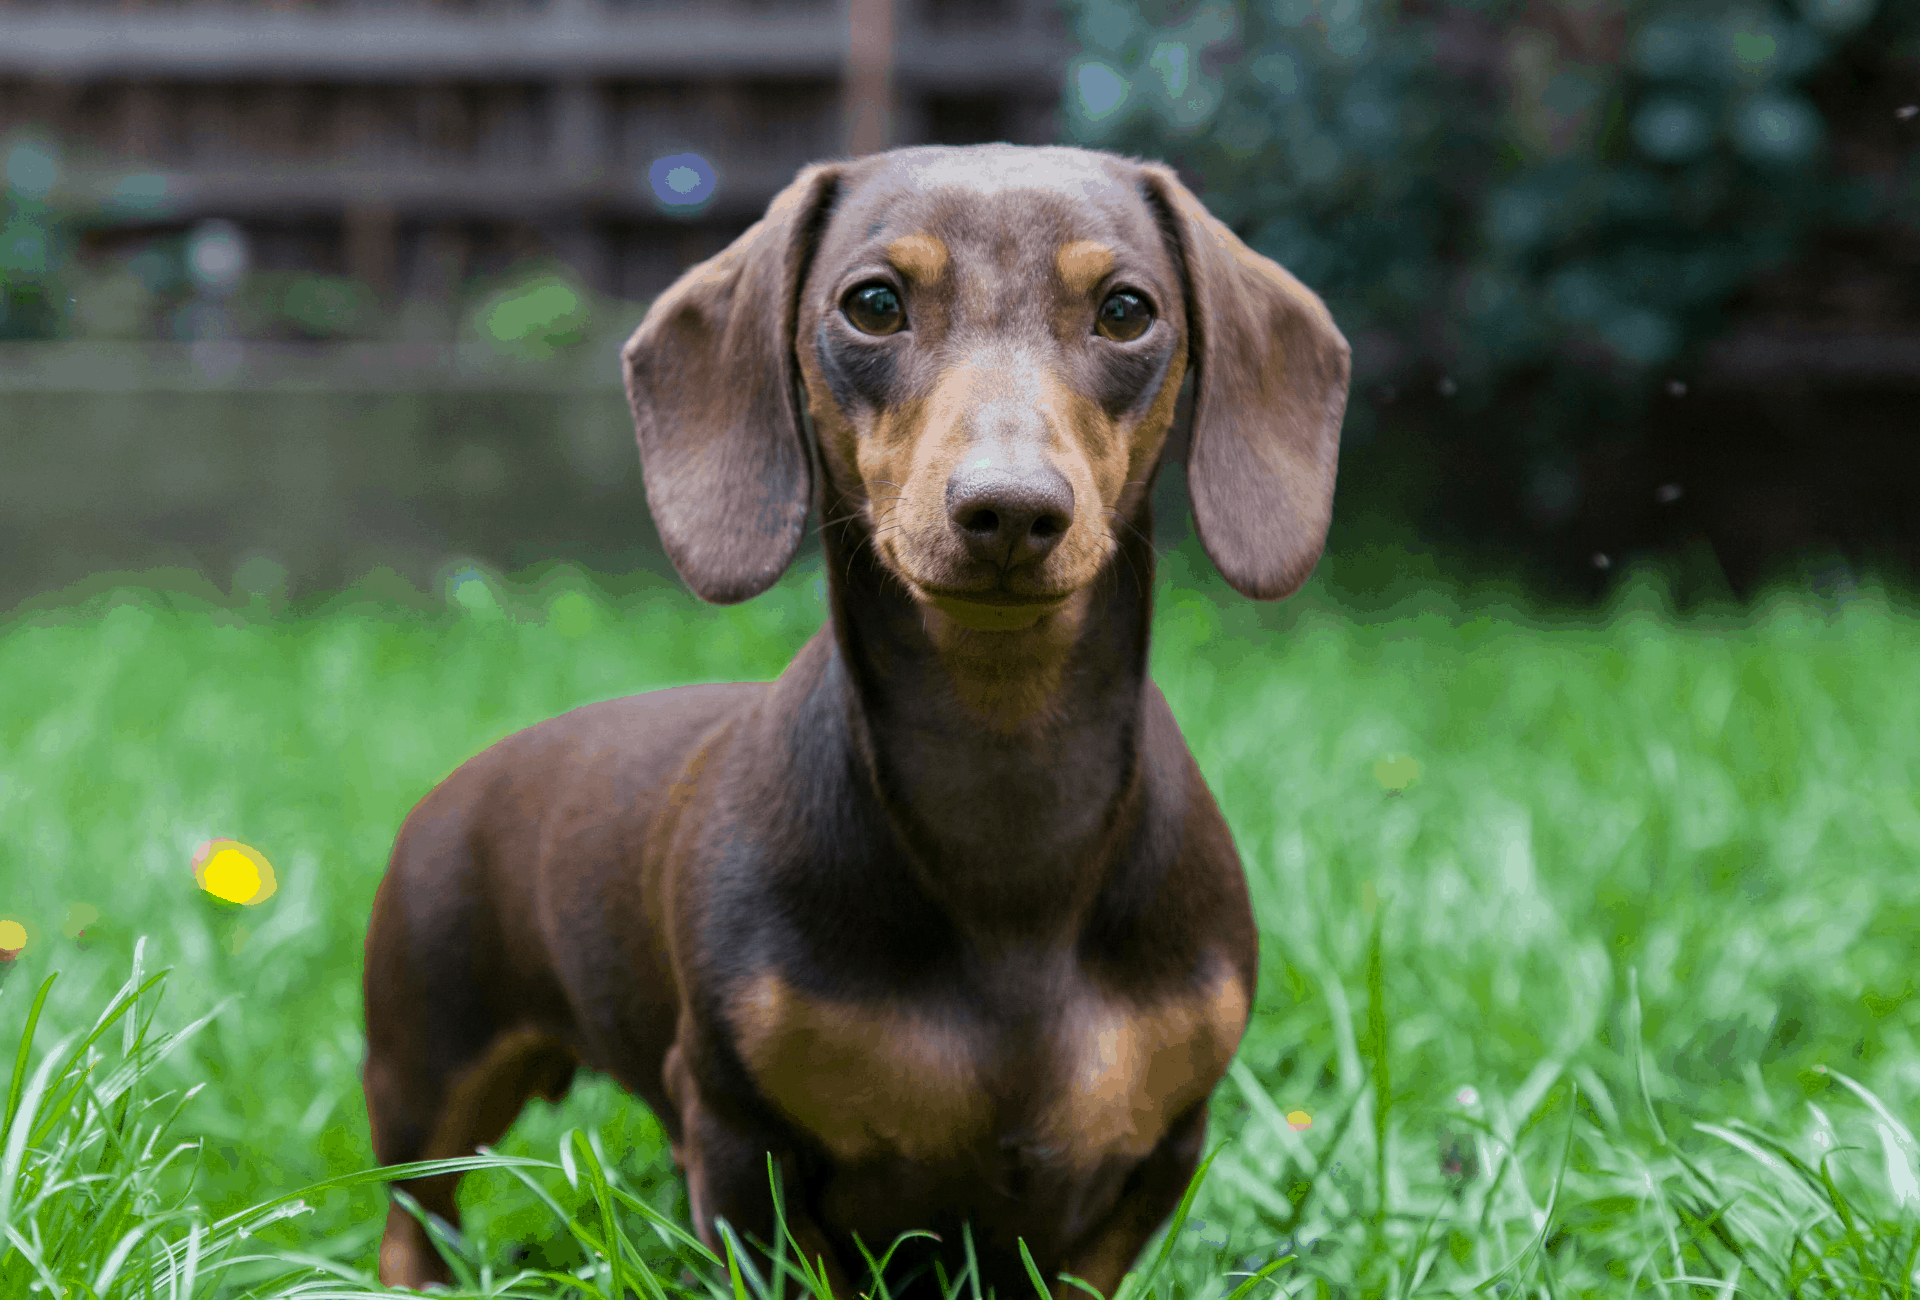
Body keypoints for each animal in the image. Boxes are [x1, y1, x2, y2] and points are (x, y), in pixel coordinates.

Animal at [360, 142, 1351, 1298]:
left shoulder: (1158, 1155)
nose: (1010, 508)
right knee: (411, 1223)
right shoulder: (740, 1144)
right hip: (427, 1076)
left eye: (1126, 310)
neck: (1008, 806)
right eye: (873, 303)